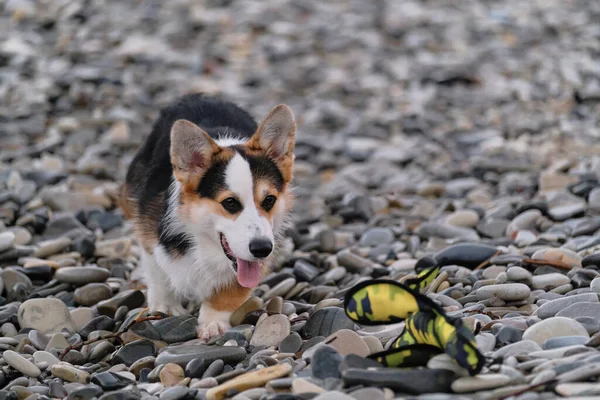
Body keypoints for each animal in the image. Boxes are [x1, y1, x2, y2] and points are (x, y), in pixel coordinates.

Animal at [122, 94, 298, 340]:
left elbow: (232, 287)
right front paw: (165, 306)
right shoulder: (147, 231)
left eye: (269, 200)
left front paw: (212, 322)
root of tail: (200, 96)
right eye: (230, 202)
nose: (262, 249)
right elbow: (157, 270)